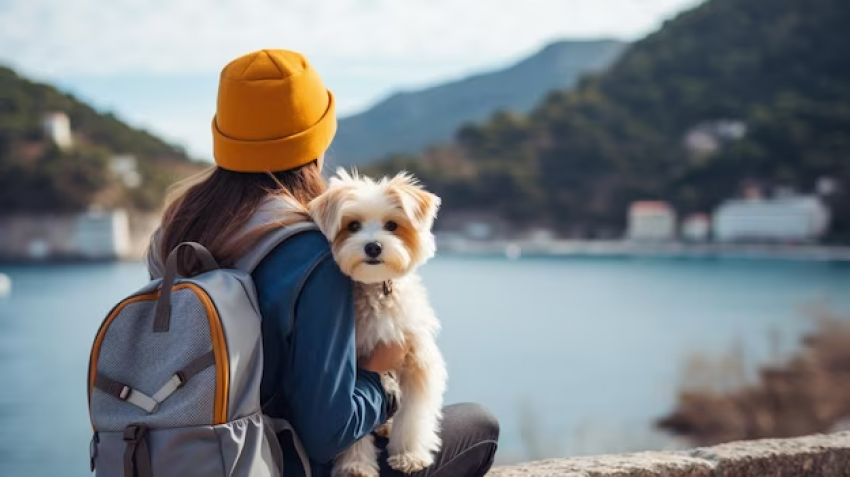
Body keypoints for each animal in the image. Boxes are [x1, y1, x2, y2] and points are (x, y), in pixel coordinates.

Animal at [308, 168, 448, 476]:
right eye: (353, 225)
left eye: (392, 225)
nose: (373, 246)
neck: (377, 290)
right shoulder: (354, 366)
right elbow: (351, 426)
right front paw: (356, 466)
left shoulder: (417, 359)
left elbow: (413, 416)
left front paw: (409, 455)